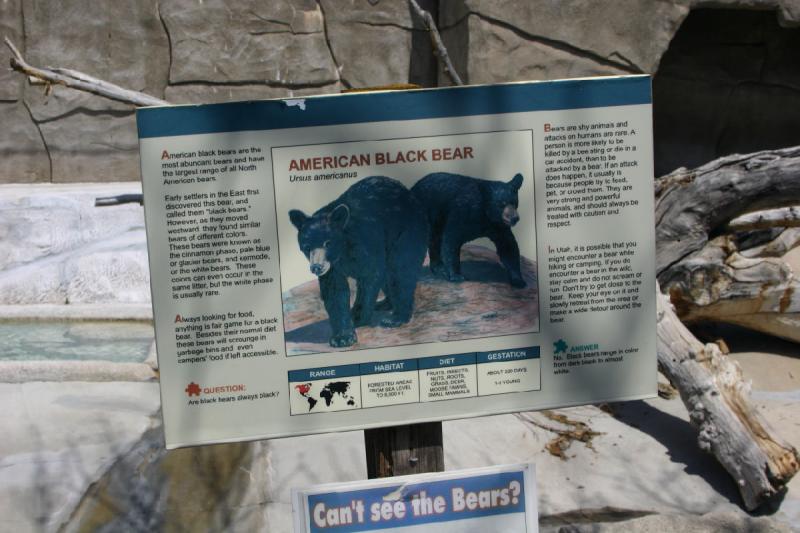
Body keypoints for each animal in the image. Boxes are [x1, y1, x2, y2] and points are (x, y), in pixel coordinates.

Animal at [290, 177, 428, 348]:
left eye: (328, 243)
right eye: (307, 246)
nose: (316, 267)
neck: (343, 250)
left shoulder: (366, 242)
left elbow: (370, 277)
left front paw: (357, 316)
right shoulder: (332, 267)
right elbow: (335, 291)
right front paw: (342, 336)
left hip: (405, 233)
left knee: (401, 271)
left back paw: (396, 317)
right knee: (388, 276)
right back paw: (384, 303)